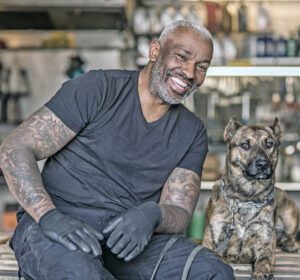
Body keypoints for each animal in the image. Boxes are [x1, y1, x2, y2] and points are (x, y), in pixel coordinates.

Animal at [203, 117, 298, 280]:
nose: (263, 164)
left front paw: (262, 271)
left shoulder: (265, 239)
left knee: (289, 235)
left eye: (269, 144)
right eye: (245, 145)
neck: (246, 198)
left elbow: (264, 258)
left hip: (289, 214)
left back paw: (290, 244)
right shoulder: (212, 236)